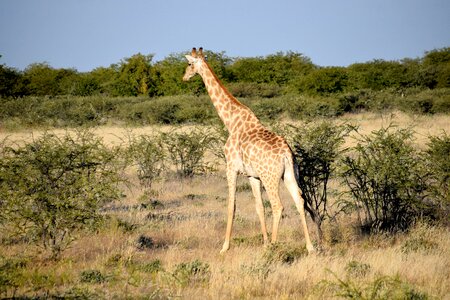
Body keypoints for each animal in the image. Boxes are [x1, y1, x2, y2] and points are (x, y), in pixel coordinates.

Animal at [181, 47, 314, 253]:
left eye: (189, 64)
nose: (184, 77)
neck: (231, 122)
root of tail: (286, 153)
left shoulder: (231, 168)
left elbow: (231, 206)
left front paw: (224, 247)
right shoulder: (252, 175)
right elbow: (259, 207)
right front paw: (264, 241)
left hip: (271, 177)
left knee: (278, 206)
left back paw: (274, 246)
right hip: (290, 174)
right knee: (300, 202)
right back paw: (310, 247)